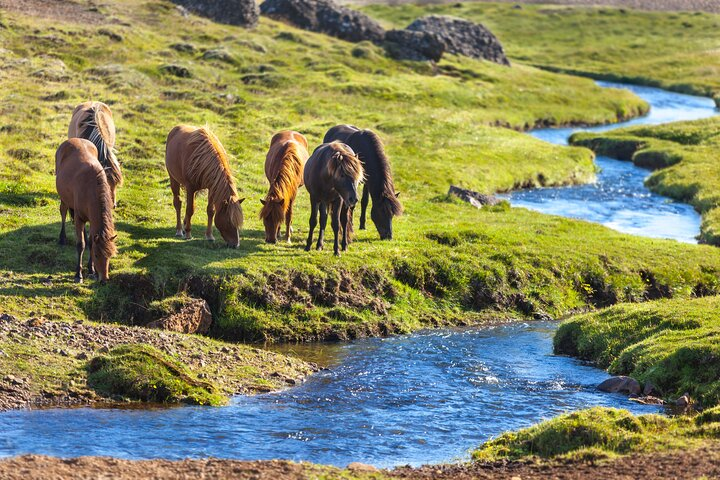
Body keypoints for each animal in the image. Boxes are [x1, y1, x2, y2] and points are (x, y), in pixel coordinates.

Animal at [55, 138, 117, 283]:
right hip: (64, 199)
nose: (104, 280)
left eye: (110, 255)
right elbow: (81, 244)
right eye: (97, 255)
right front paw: (78, 274)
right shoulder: (79, 218)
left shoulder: (91, 219)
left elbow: (90, 242)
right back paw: (62, 238)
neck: (91, 189)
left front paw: (91, 270)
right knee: (63, 212)